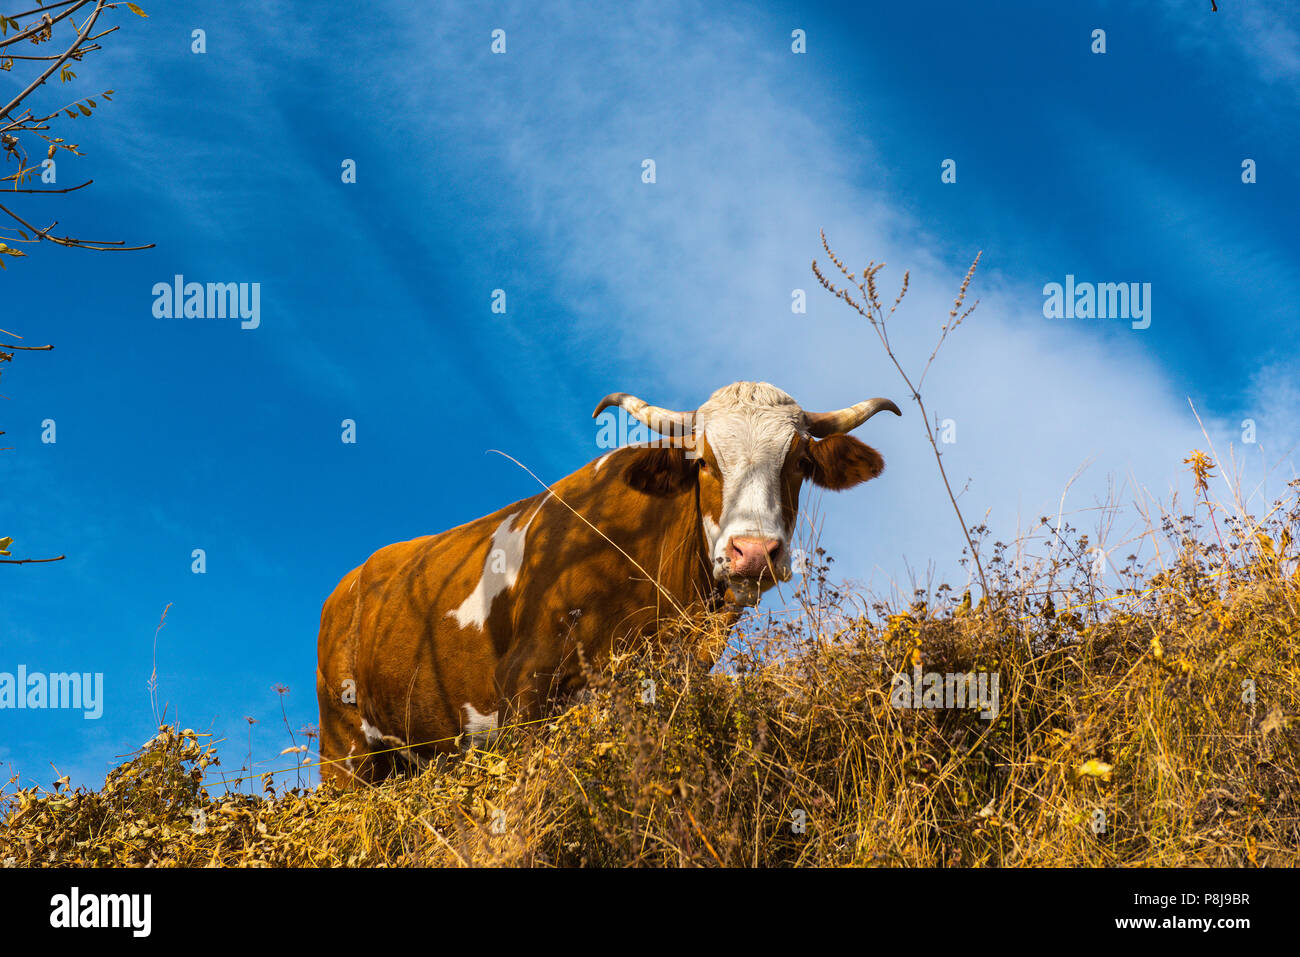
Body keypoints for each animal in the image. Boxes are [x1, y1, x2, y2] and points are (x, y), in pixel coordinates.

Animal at [315, 381, 899, 784]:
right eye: (704, 462)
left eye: (798, 462)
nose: (753, 552)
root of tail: (353, 580)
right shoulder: (523, 684)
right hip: (343, 746)